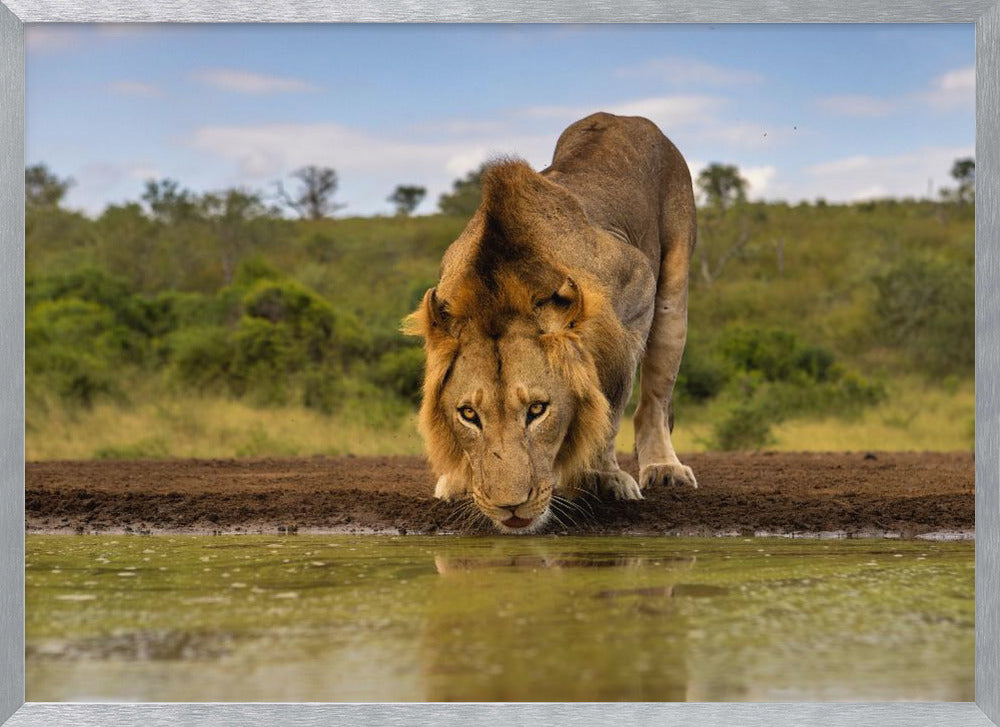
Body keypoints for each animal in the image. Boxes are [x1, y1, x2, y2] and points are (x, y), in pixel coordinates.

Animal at [404, 112, 697, 533]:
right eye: (469, 415)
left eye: (537, 410)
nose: (510, 508)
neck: (501, 286)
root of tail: (623, 116)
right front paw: (458, 480)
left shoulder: (637, 290)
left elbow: (610, 407)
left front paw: (602, 477)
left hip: (673, 289)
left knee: (654, 400)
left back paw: (663, 467)